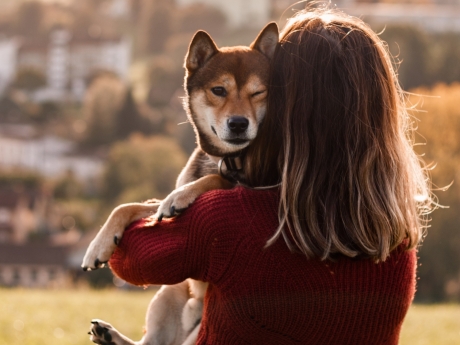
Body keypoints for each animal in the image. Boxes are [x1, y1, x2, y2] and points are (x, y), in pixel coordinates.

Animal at [82, 22, 280, 344]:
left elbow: (214, 179)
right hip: (169, 293)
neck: (225, 158)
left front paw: (183, 196)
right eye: (218, 90)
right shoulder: (156, 205)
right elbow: (127, 207)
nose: (239, 123)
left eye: (258, 92)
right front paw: (98, 245)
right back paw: (109, 335)